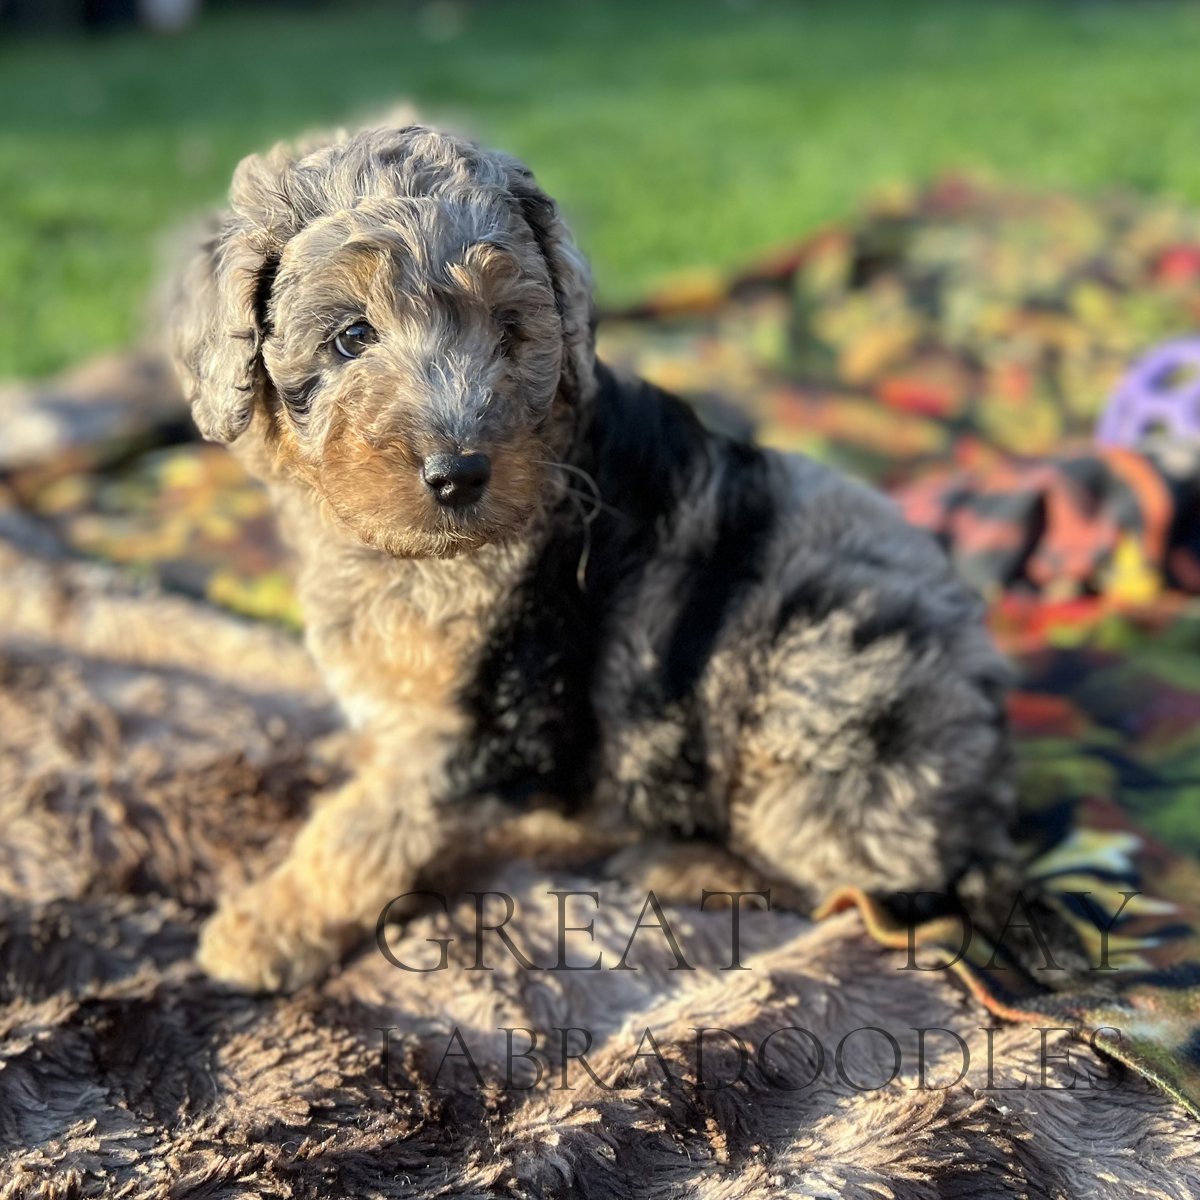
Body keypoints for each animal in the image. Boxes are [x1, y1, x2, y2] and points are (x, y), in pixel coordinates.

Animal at [169, 121, 1012, 988]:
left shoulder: (491, 714)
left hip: (823, 689)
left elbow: (366, 826)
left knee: (855, 882)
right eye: (351, 338)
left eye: (509, 331)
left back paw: (674, 862)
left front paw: (266, 928)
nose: (460, 473)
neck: (409, 556)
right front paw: (354, 748)